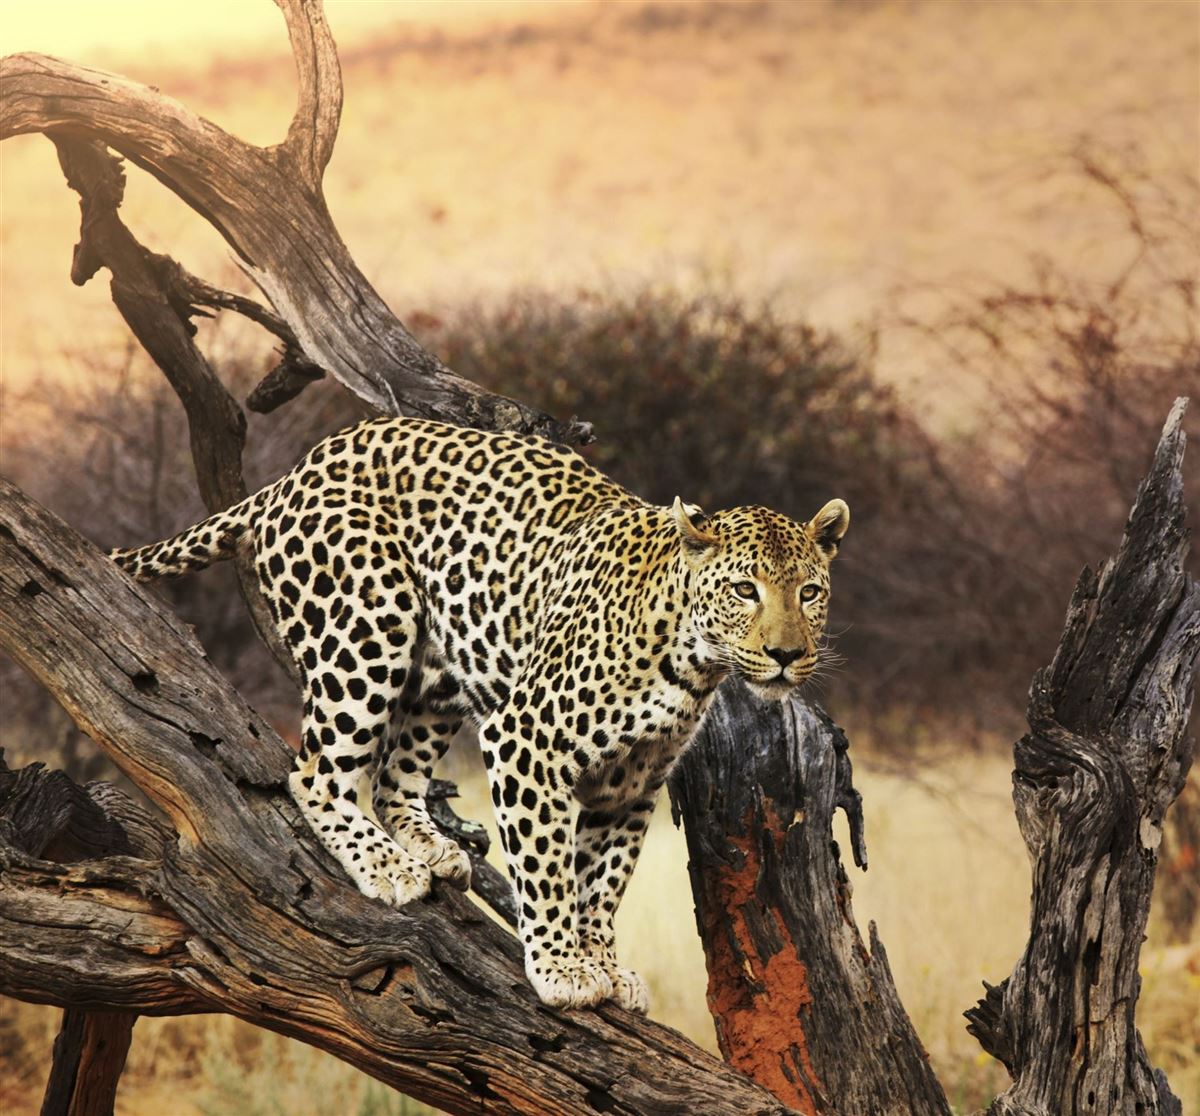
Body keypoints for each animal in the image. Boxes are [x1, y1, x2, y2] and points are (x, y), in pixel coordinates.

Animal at [111, 416, 849, 1012]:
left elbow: (604, 882)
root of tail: (292, 472)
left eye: (810, 592)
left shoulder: (632, 784)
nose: (787, 655)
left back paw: (429, 846)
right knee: (317, 771)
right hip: (367, 629)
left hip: (440, 671)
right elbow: (549, 864)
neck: (691, 660)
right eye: (744, 590)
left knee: (393, 777)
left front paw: (605, 962)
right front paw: (562, 969)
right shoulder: (530, 737)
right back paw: (385, 865)